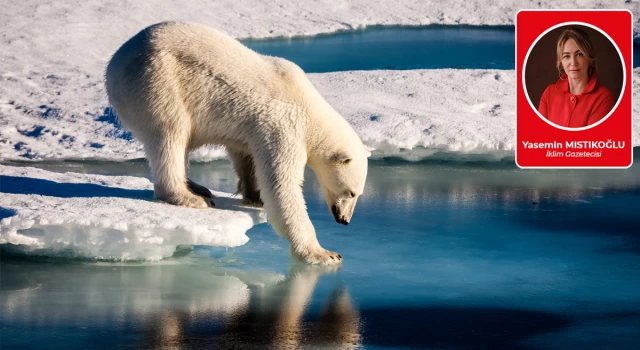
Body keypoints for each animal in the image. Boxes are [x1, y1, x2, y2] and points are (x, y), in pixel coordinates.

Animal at [106, 21, 370, 266]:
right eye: (351, 192)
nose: (344, 220)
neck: (309, 109)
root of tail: (114, 63)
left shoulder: (252, 129)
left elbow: (245, 156)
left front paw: (254, 196)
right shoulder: (284, 127)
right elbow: (282, 186)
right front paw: (324, 253)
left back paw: (197, 187)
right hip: (157, 81)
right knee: (171, 134)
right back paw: (189, 197)